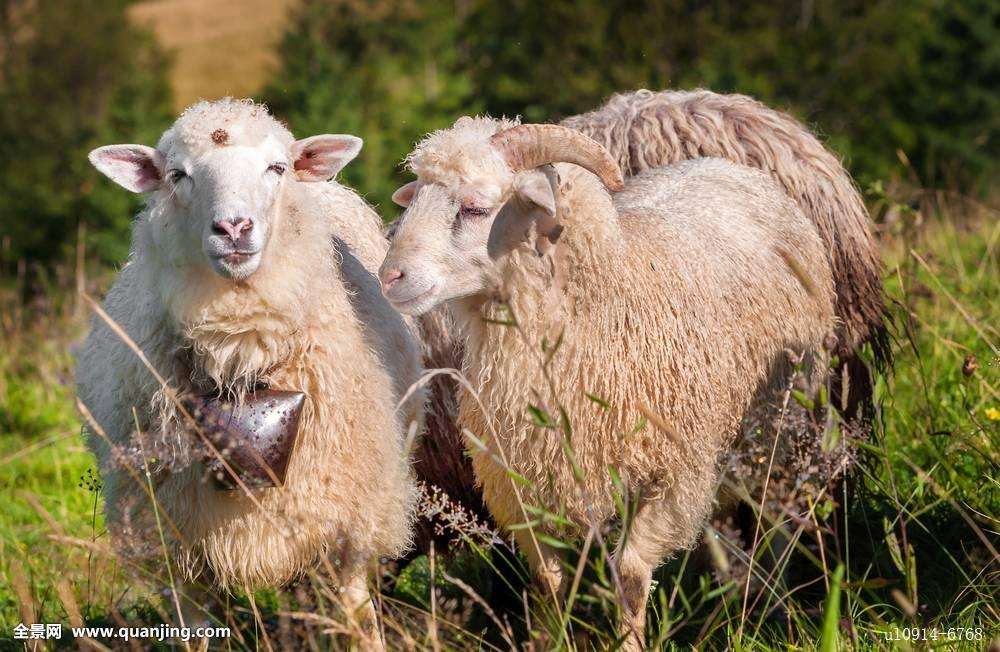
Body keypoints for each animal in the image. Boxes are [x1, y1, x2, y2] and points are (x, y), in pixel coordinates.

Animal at [78, 99, 422, 640]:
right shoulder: (175, 541)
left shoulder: (347, 519)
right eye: (177, 175)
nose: (234, 229)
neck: (239, 352)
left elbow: (358, 620)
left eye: (276, 168)